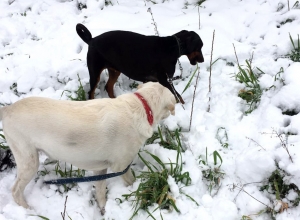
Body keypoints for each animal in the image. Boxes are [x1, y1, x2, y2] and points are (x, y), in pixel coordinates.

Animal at [0, 82, 176, 213]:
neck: (143, 105)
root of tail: (7, 109)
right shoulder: (121, 166)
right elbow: (130, 182)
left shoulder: (100, 169)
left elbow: (100, 192)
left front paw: (103, 209)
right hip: (29, 161)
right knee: (15, 191)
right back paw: (29, 211)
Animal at [75, 23, 204, 103]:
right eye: (200, 47)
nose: (202, 60)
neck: (172, 47)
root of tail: (91, 40)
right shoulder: (165, 80)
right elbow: (178, 96)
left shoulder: (153, 81)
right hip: (95, 71)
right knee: (91, 92)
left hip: (114, 70)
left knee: (108, 86)